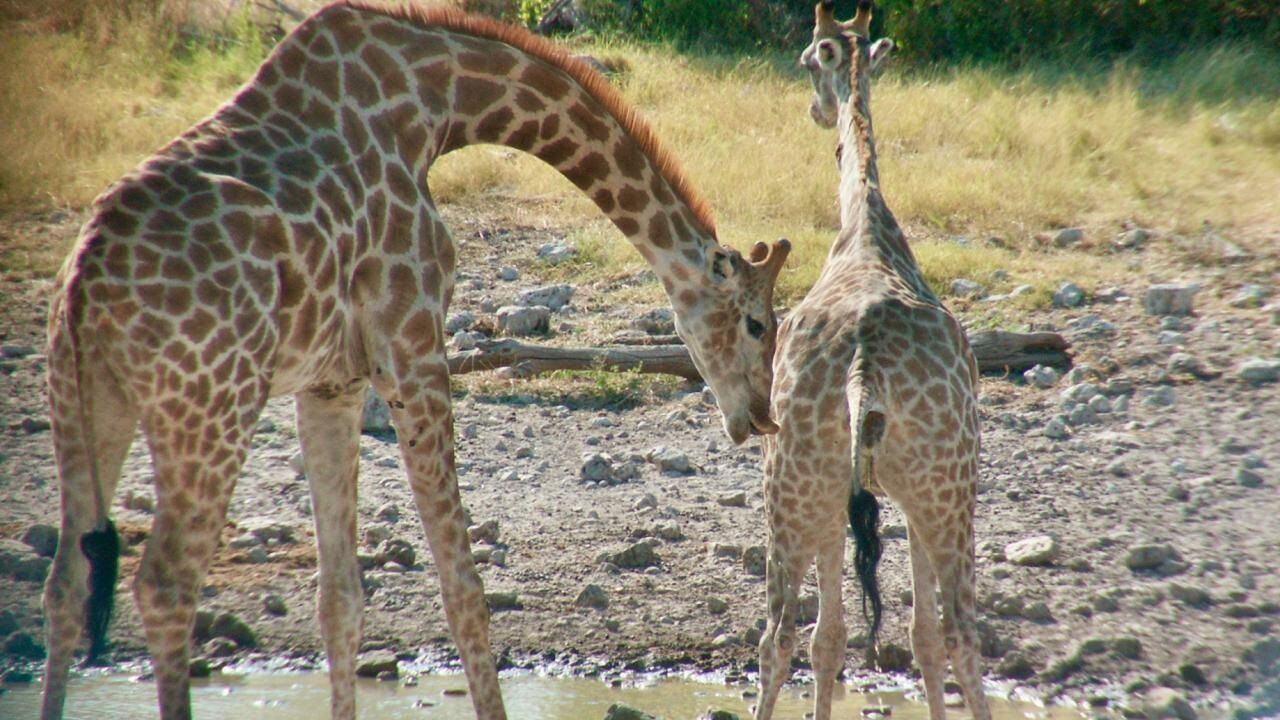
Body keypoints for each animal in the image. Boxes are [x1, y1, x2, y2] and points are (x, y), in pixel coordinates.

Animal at [40, 2, 788, 712]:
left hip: (88, 404)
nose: (760, 416)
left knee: (66, 582)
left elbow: (340, 599)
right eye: (757, 324)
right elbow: (463, 588)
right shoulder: (413, 344)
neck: (437, 103)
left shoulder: (332, 379)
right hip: (209, 410)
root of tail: (84, 284)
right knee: (165, 585)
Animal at [752, 1, 993, 717]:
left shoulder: (863, 497)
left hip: (806, 489)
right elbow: (898, 637)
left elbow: (847, 640)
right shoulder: (891, 499)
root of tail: (863, 370)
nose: (814, 109)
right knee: (957, 632)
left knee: (782, 635)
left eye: (807, 58)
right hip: (937, 493)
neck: (864, 225)